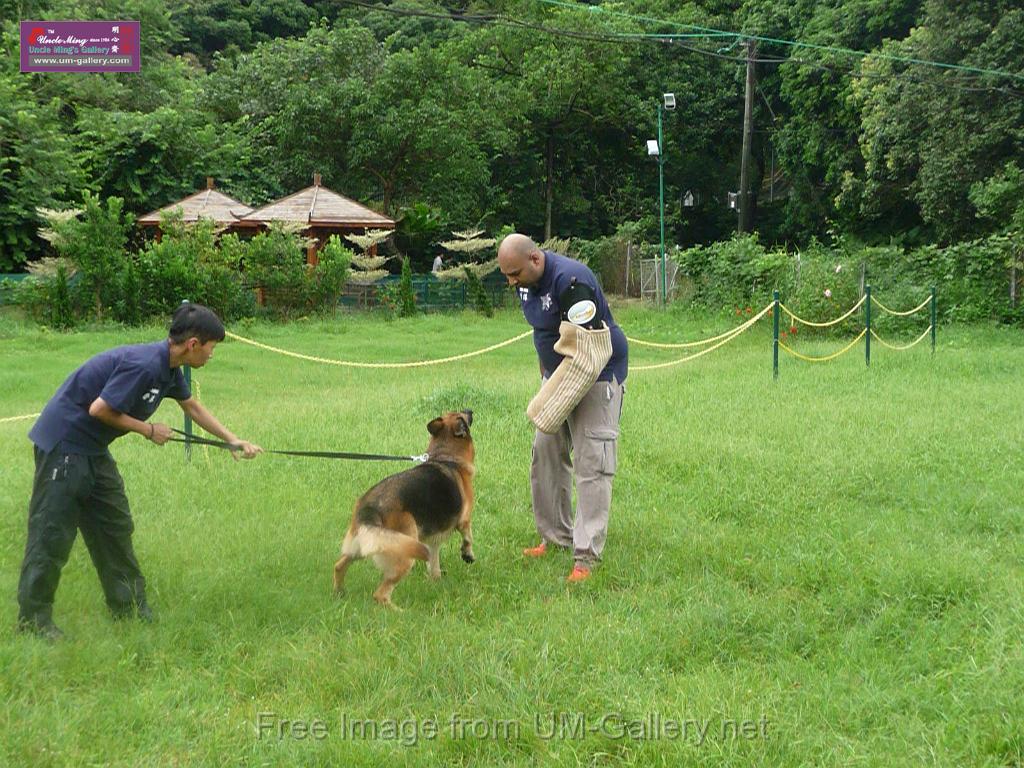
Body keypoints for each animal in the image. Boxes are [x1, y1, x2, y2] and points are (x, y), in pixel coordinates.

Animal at [335, 411, 479, 610]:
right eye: (462, 415)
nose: (470, 410)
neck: (446, 457)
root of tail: (370, 508)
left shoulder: (432, 541)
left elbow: (434, 564)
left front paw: (436, 582)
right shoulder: (464, 520)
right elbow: (468, 537)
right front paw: (468, 555)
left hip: (362, 544)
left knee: (339, 565)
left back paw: (339, 593)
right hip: (404, 553)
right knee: (380, 594)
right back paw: (400, 611)